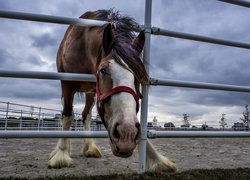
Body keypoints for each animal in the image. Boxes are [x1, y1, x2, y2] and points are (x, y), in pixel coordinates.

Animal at [47, 8, 176, 173]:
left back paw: (90, 147)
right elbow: (68, 117)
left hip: (91, 93)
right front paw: (61, 155)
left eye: (139, 76)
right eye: (103, 70)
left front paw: (157, 159)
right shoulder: (67, 84)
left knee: (86, 115)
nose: (126, 134)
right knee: (67, 114)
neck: (82, 45)